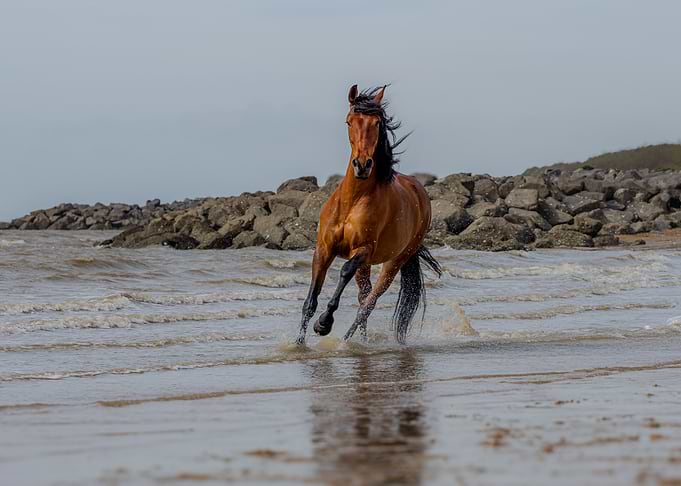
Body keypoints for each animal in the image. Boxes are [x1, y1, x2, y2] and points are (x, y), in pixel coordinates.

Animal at [296, 84, 442, 346]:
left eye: (377, 123)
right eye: (349, 121)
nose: (362, 165)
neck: (353, 201)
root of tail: (420, 192)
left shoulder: (363, 249)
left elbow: (344, 272)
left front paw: (323, 324)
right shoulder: (323, 249)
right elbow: (310, 300)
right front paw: (298, 344)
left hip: (394, 261)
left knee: (368, 304)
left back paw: (345, 341)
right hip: (367, 266)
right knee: (364, 298)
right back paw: (360, 342)